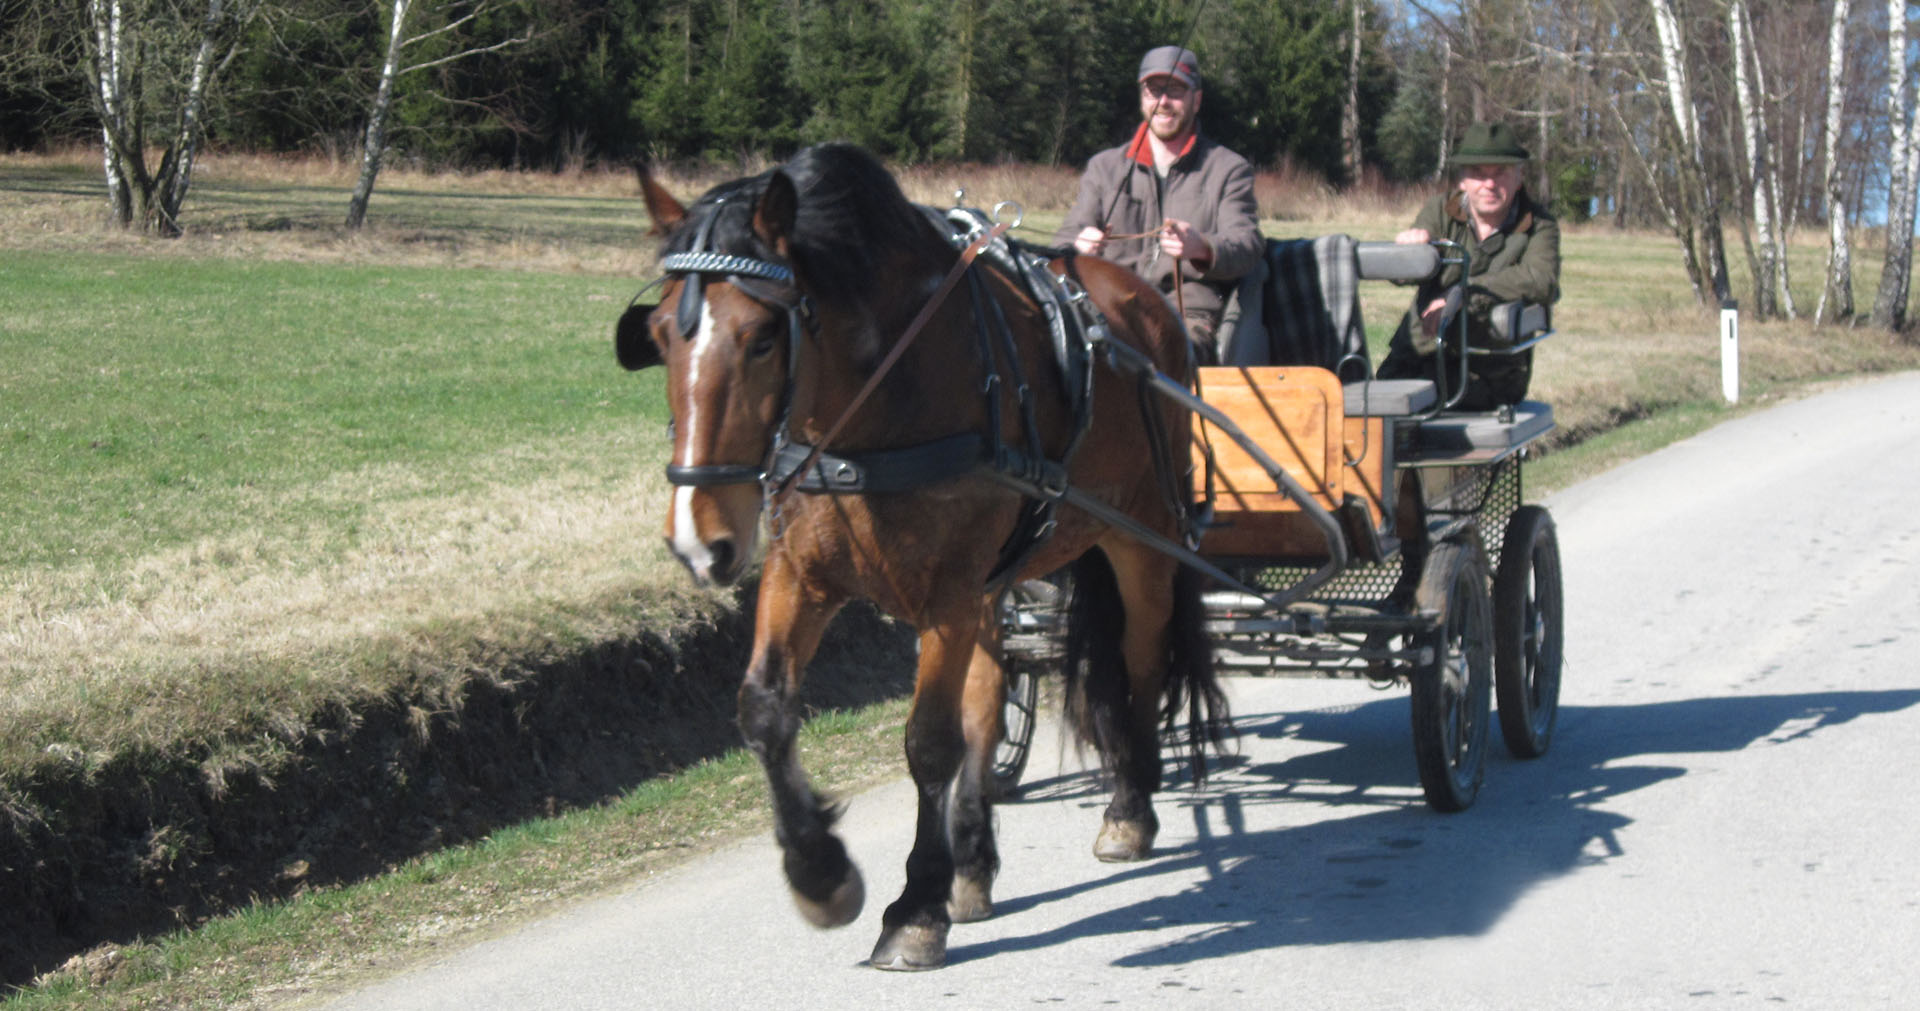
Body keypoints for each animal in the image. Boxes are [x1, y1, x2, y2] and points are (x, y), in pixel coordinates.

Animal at [614, 142, 1230, 970]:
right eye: (656, 335)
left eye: (764, 336)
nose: (697, 539)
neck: (876, 406)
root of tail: (1144, 299)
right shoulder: (804, 575)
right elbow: (766, 709)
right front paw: (822, 872)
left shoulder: (948, 593)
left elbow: (931, 742)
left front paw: (913, 907)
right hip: (1001, 578)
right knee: (992, 695)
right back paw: (972, 859)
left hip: (1140, 540)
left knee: (1139, 663)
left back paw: (1129, 807)